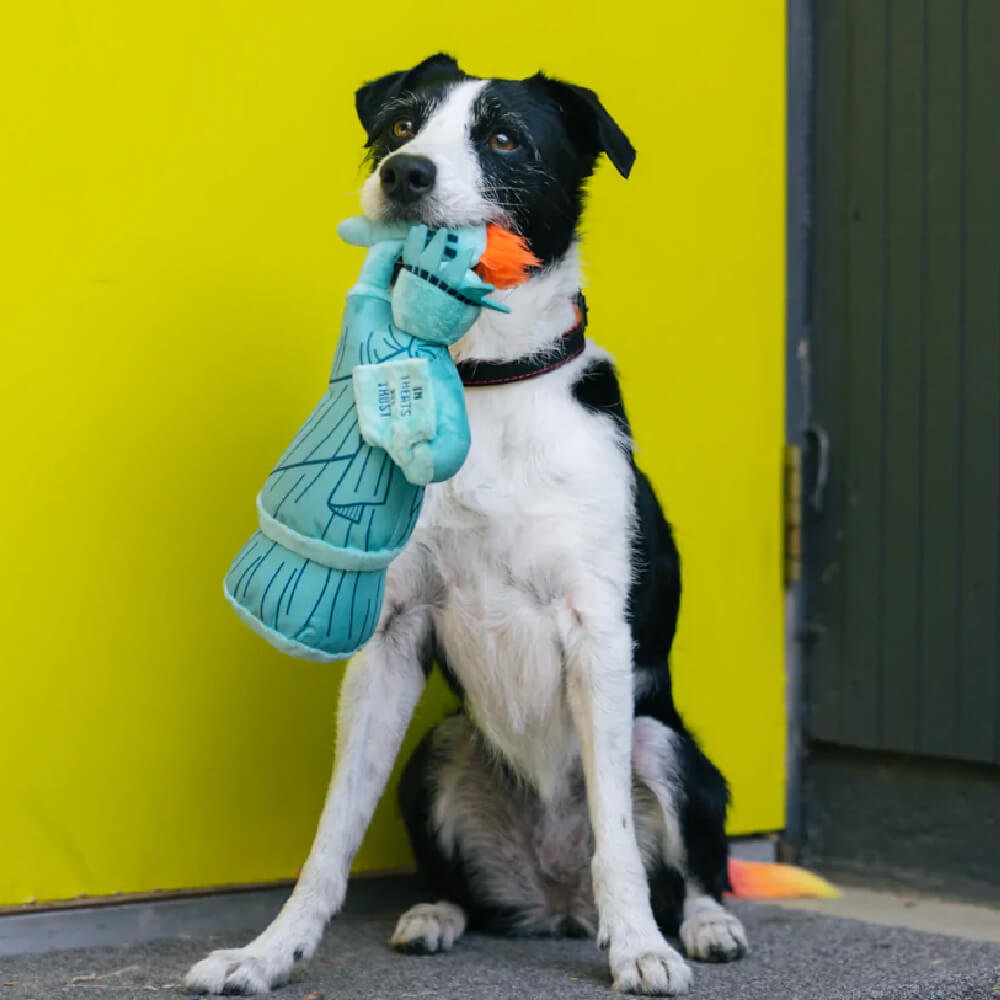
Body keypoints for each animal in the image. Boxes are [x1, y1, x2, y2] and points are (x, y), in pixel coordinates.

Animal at [188, 56, 748, 1000]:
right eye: (400, 125)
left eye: (505, 139)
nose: (404, 174)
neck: (484, 380)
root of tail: (557, 904)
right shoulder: (389, 637)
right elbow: (331, 837)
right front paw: (269, 952)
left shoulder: (598, 633)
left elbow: (618, 838)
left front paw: (641, 949)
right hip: (440, 749)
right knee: (461, 876)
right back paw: (435, 915)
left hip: (663, 743)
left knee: (689, 863)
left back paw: (700, 925)